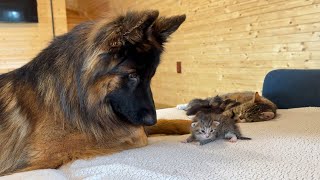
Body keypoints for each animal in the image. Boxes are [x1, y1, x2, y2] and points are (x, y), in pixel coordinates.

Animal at [0, 10, 190, 176]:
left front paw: (189, 123)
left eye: (151, 76)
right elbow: (137, 133)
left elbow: (162, 121)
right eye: (132, 75)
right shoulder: (50, 150)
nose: (151, 120)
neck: (77, 93)